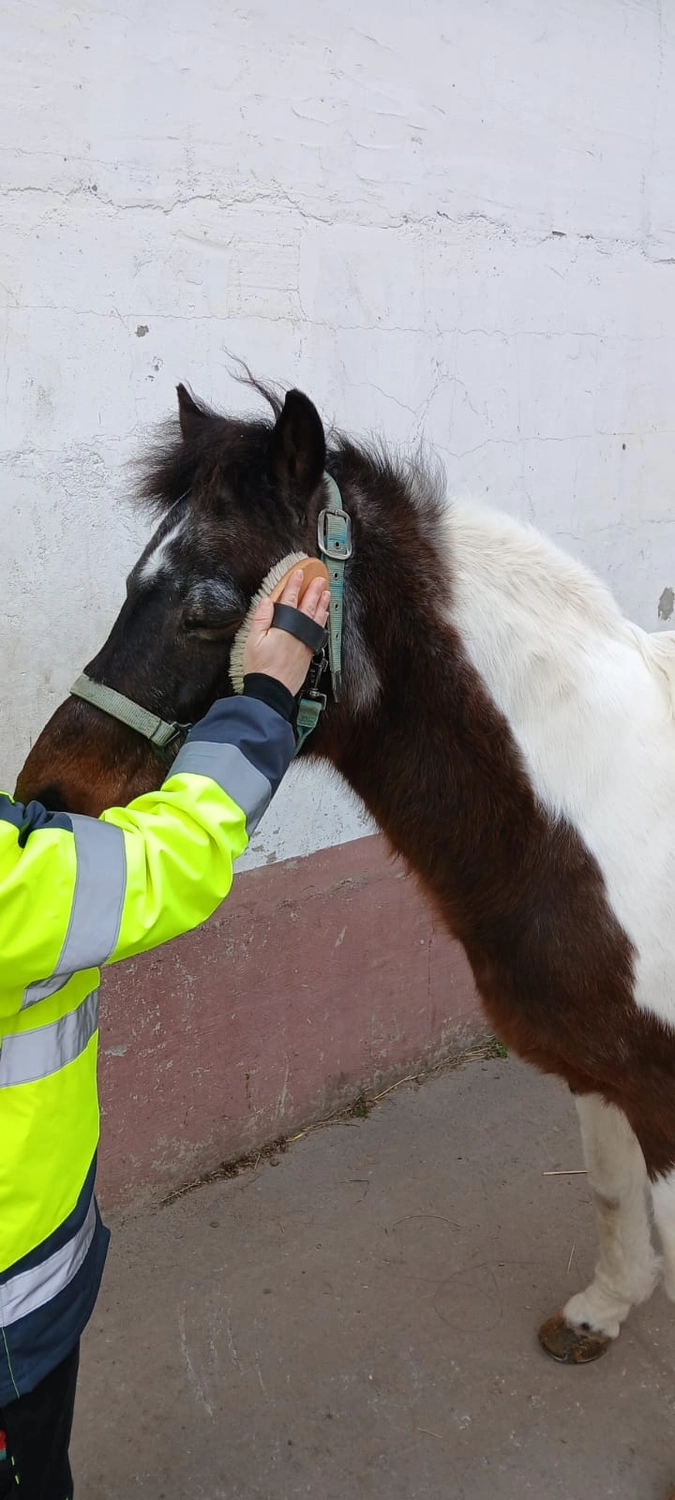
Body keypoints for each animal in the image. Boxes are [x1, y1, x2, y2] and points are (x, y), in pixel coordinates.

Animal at [17, 379, 675, 1366]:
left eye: (210, 609)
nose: (51, 789)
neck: (608, 805)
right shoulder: (602, 1060)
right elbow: (606, 1187)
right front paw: (602, 1309)